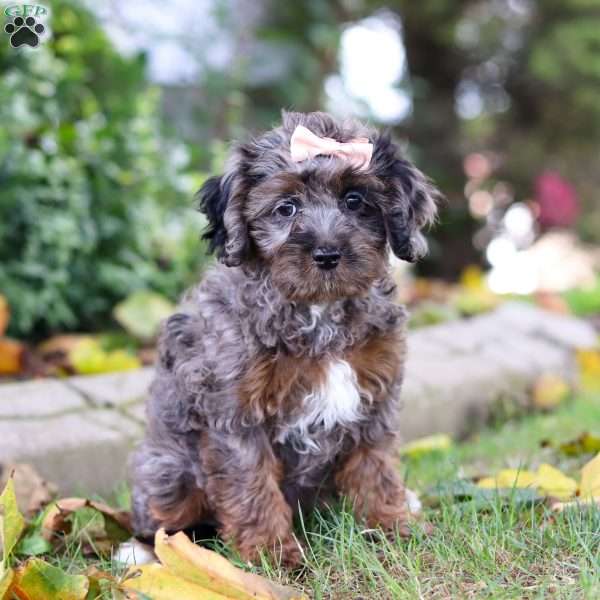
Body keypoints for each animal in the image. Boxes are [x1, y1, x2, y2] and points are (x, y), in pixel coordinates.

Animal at [131, 110, 438, 564]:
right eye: (285, 208)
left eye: (355, 201)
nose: (327, 255)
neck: (318, 312)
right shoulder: (236, 414)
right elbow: (252, 487)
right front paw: (273, 555)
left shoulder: (374, 398)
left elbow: (376, 469)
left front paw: (393, 526)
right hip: (169, 473)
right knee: (161, 520)